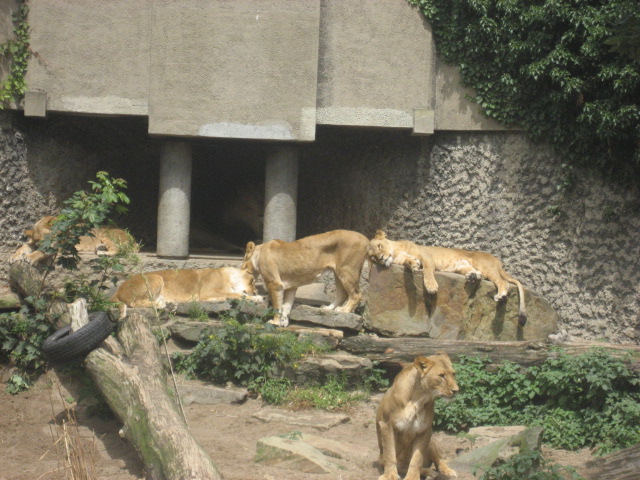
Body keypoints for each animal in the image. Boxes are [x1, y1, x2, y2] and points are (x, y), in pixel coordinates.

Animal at [9, 215, 137, 265]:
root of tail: (133, 239)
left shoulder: (55, 248)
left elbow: (39, 252)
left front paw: (30, 257)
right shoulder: (33, 242)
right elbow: (22, 248)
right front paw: (13, 257)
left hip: (107, 235)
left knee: (118, 250)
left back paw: (102, 252)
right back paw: (100, 248)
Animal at [111, 267, 263, 319]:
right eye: (252, 281)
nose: (255, 291)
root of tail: (118, 289)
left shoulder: (208, 295)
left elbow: (232, 295)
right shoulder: (208, 291)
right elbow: (239, 295)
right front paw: (258, 298)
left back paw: (168, 303)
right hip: (156, 277)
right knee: (134, 303)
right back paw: (162, 304)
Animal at [367, 230, 527, 325]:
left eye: (379, 246)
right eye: (373, 257)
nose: (381, 258)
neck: (396, 252)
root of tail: (498, 261)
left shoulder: (426, 256)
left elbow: (428, 271)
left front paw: (431, 287)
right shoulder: (405, 259)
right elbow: (409, 261)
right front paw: (413, 265)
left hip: (486, 267)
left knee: (503, 282)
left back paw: (500, 295)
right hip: (462, 265)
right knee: (478, 274)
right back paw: (473, 276)